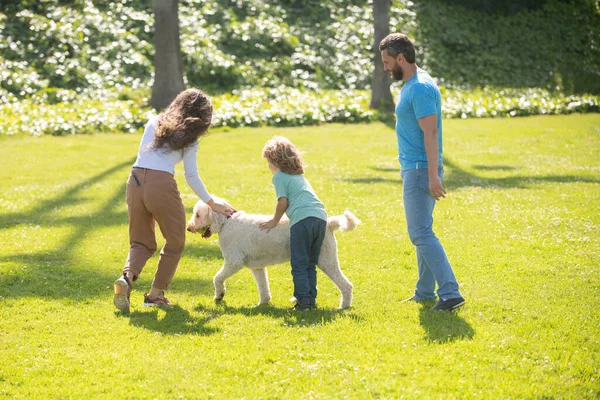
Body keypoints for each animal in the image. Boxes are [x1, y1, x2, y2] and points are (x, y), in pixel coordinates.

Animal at [188, 200, 358, 310]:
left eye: (197, 215)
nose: (188, 228)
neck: (227, 222)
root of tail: (328, 223)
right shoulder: (257, 267)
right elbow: (263, 286)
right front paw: (263, 303)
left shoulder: (233, 262)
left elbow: (217, 278)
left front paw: (219, 296)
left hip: (327, 260)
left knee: (346, 285)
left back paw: (344, 306)